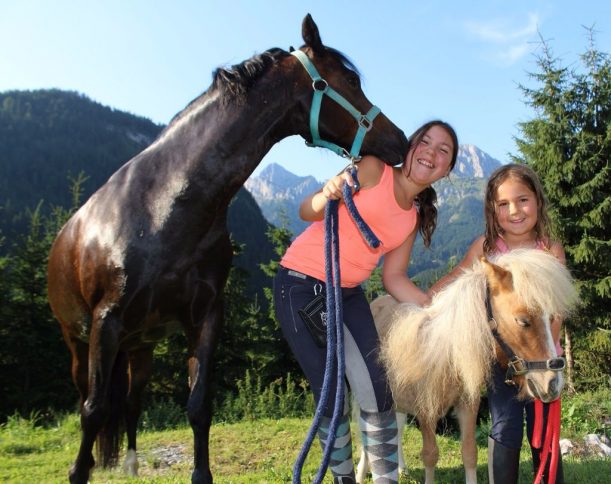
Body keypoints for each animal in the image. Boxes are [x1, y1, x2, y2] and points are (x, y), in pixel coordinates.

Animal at [47, 13, 408, 482]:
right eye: (349, 79)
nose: (400, 140)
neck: (164, 208)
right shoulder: (105, 322)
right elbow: (91, 412)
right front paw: (79, 471)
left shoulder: (206, 317)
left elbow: (199, 407)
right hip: (80, 340)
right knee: (89, 400)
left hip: (140, 345)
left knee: (132, 400)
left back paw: (130, 463)